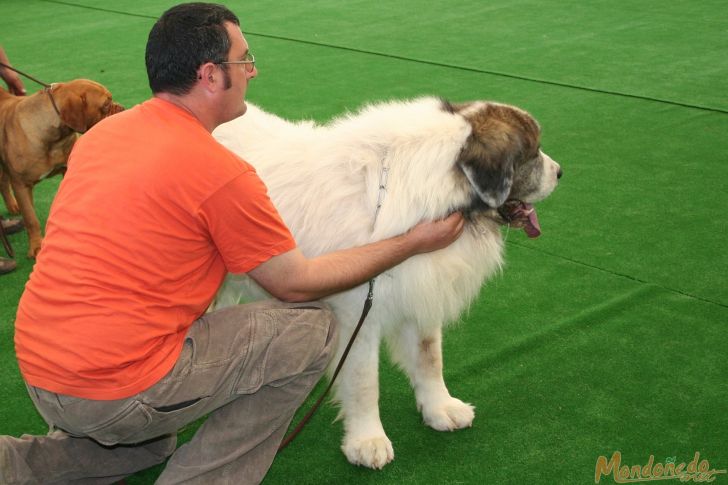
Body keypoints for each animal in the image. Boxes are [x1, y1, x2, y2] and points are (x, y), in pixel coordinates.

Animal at [0, 80, 123, 258]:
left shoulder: (68, 169)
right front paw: (36, 246)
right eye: (106, 104)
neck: (54, 139)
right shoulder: (21, 185)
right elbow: (31, 218)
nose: (122, 108)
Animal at [212, 96, 564, 466]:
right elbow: (365, 381)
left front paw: (440, 407)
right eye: (532, 154)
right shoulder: (358, 314)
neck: (425, 190)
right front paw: (367, 440)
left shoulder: (422, 292)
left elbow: (429, 358)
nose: (560, 172)